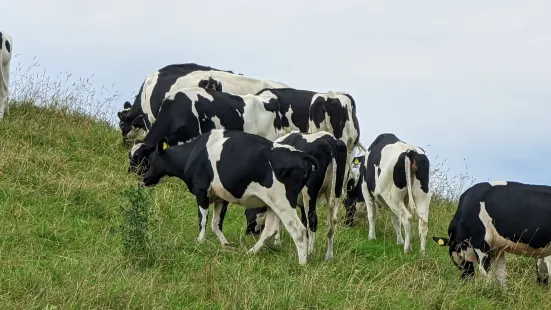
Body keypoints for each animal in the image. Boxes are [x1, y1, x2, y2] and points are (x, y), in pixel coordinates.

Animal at [140, 128, 320, 264]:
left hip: (283, 202)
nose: (145, 179)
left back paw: (302, 263)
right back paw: (251, 252)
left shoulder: (201, 191)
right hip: (273, 204)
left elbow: (202, 220)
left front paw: (200, 242)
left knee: (298, 229)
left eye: (152, 158)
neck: (193, 153)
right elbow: (216, 223)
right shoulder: (222, 198)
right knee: (270, 229)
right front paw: (225, 244)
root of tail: (300, 155)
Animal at [244, 131, 348, 262]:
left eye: (247, 214)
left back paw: (311, 252)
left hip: (310, 192)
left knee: (312, 221)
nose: (247, 232)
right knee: (332, 221)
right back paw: (328, 256)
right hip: (336, 189)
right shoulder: (299, 203)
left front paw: (278, 242)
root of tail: (328, 137)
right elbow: (302, 222)